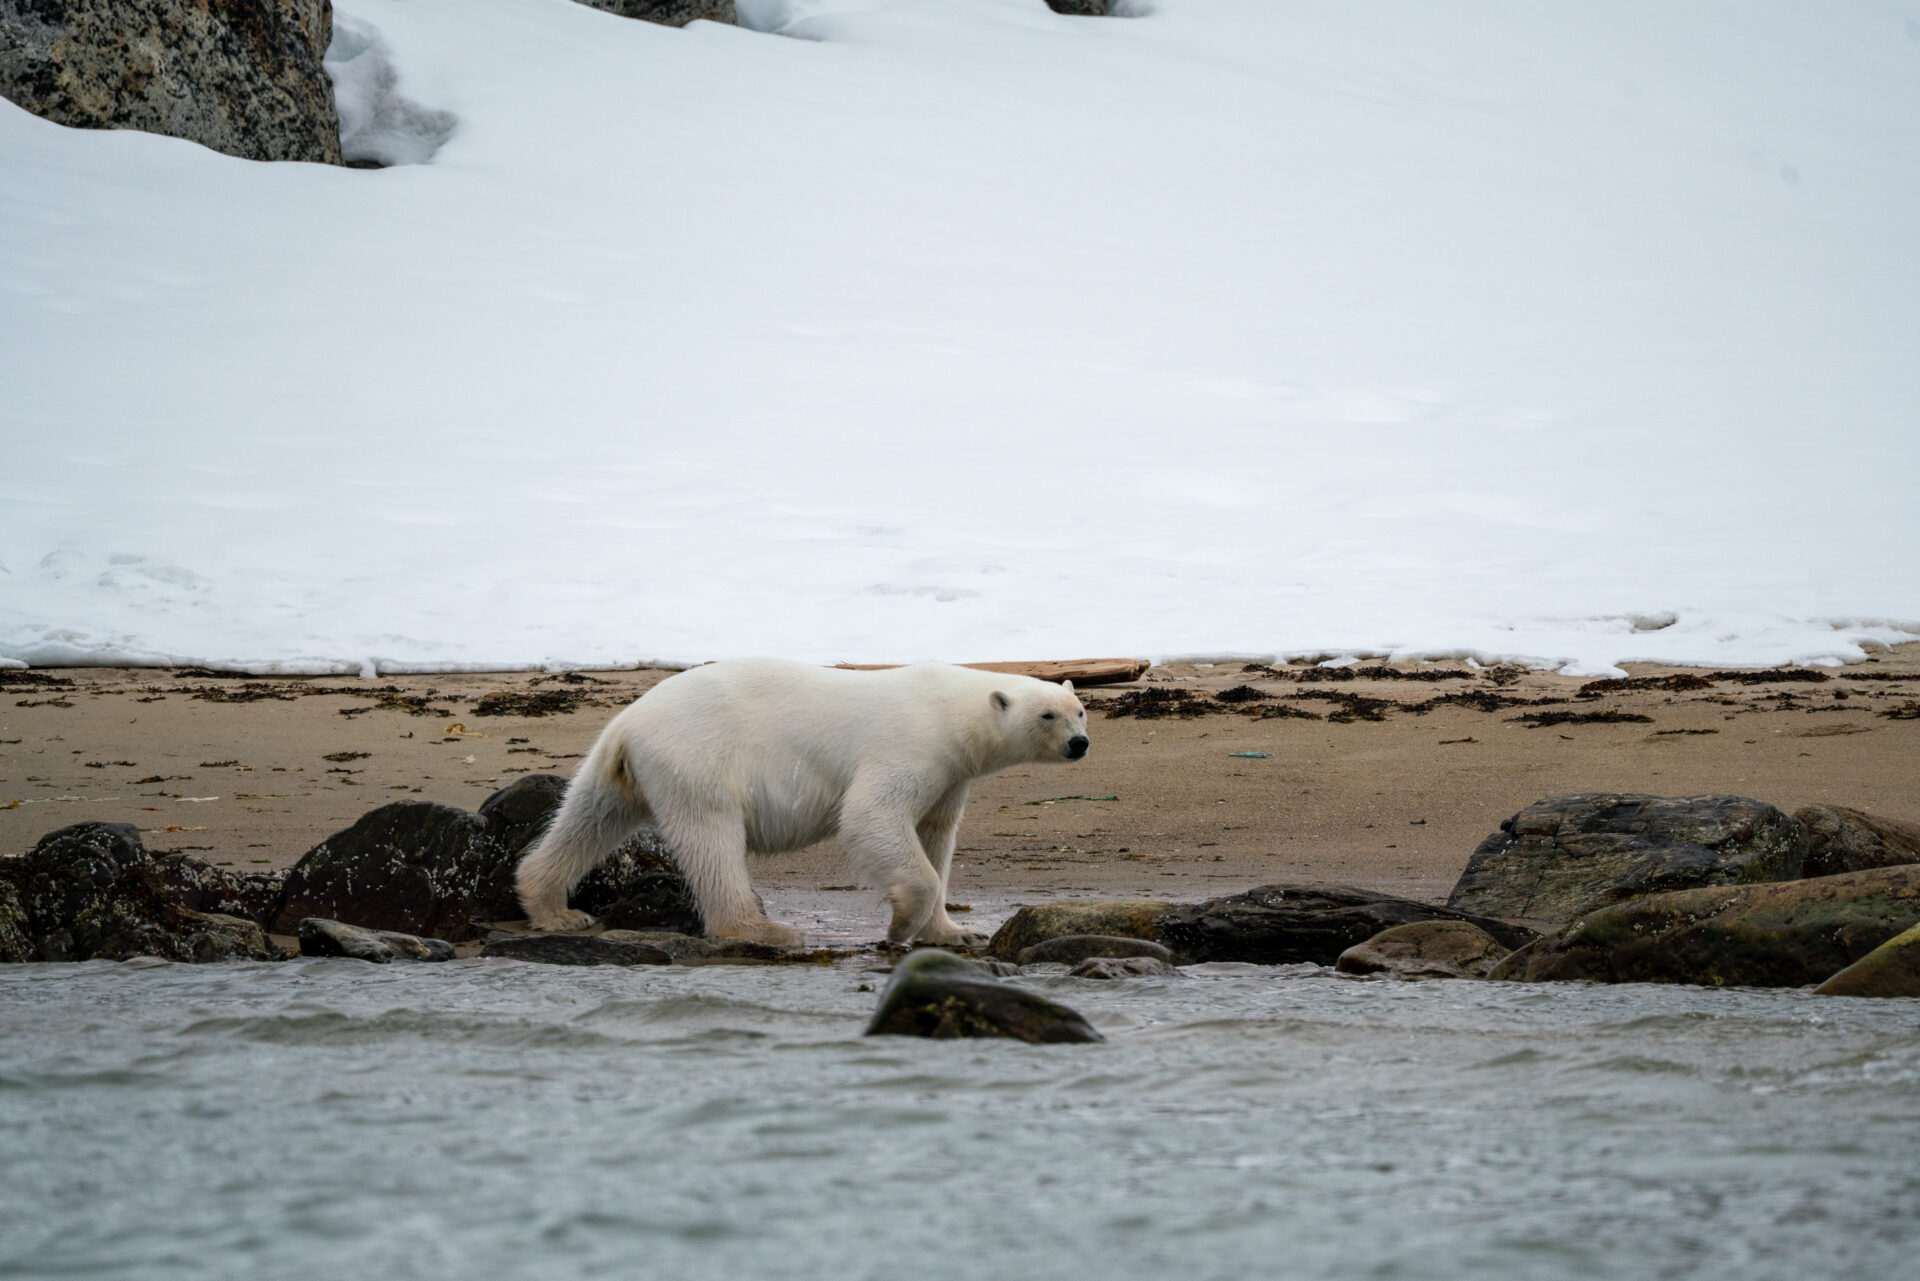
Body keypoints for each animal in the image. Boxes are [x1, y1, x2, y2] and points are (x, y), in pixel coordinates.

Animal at [515, 658, 1091, 946]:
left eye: (1080, 709)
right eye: (1047, 715)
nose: (1080, 744)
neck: (951, 710)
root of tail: (628, 722)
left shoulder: (951, 774)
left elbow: (936, 833)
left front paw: (954, 932)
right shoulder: (911, 745)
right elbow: (871, 816)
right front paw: (901, 925)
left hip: (619, 768)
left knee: (589, 817)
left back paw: (553, 908)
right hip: (698, 756)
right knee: (712, 837)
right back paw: (760, 929)